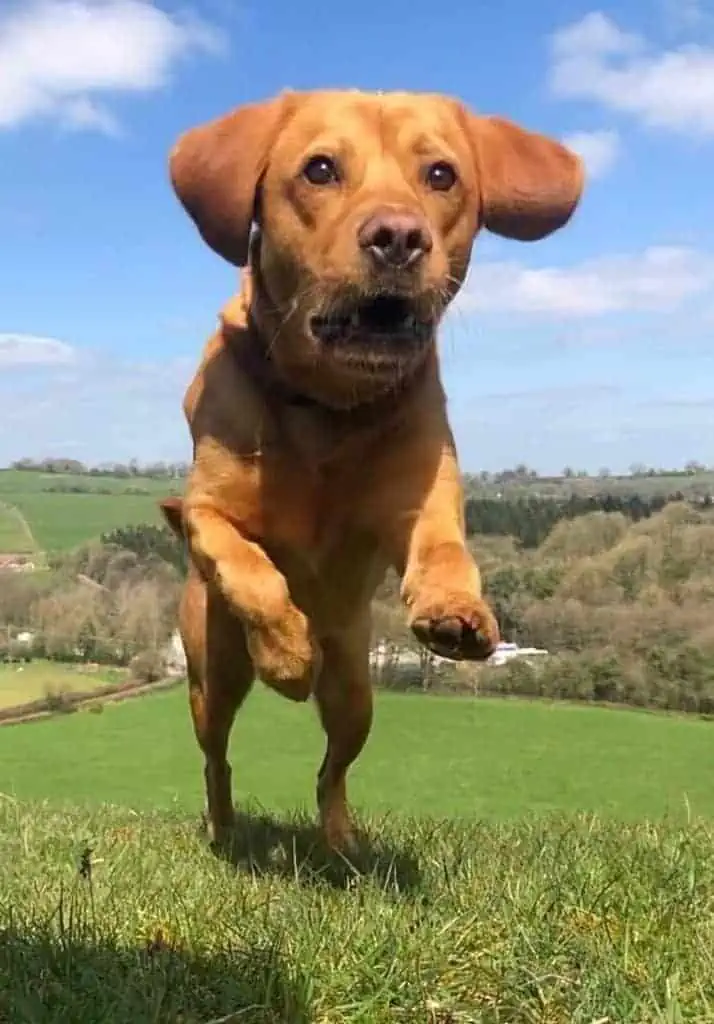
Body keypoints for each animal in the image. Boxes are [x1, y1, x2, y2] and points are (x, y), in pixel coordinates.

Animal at [161, 89, 584, 852]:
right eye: (320, 169)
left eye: (442, 175)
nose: (399, 236)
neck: (329, 405)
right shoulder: (206, 508)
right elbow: (245, 564)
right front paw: (286, 653)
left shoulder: (421, 496)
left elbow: (445, 548)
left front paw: (456, 609)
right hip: (211, 679)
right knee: (217, 758)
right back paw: (224, 825)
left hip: (357, 693)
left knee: (331, 769)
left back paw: (340, 841)